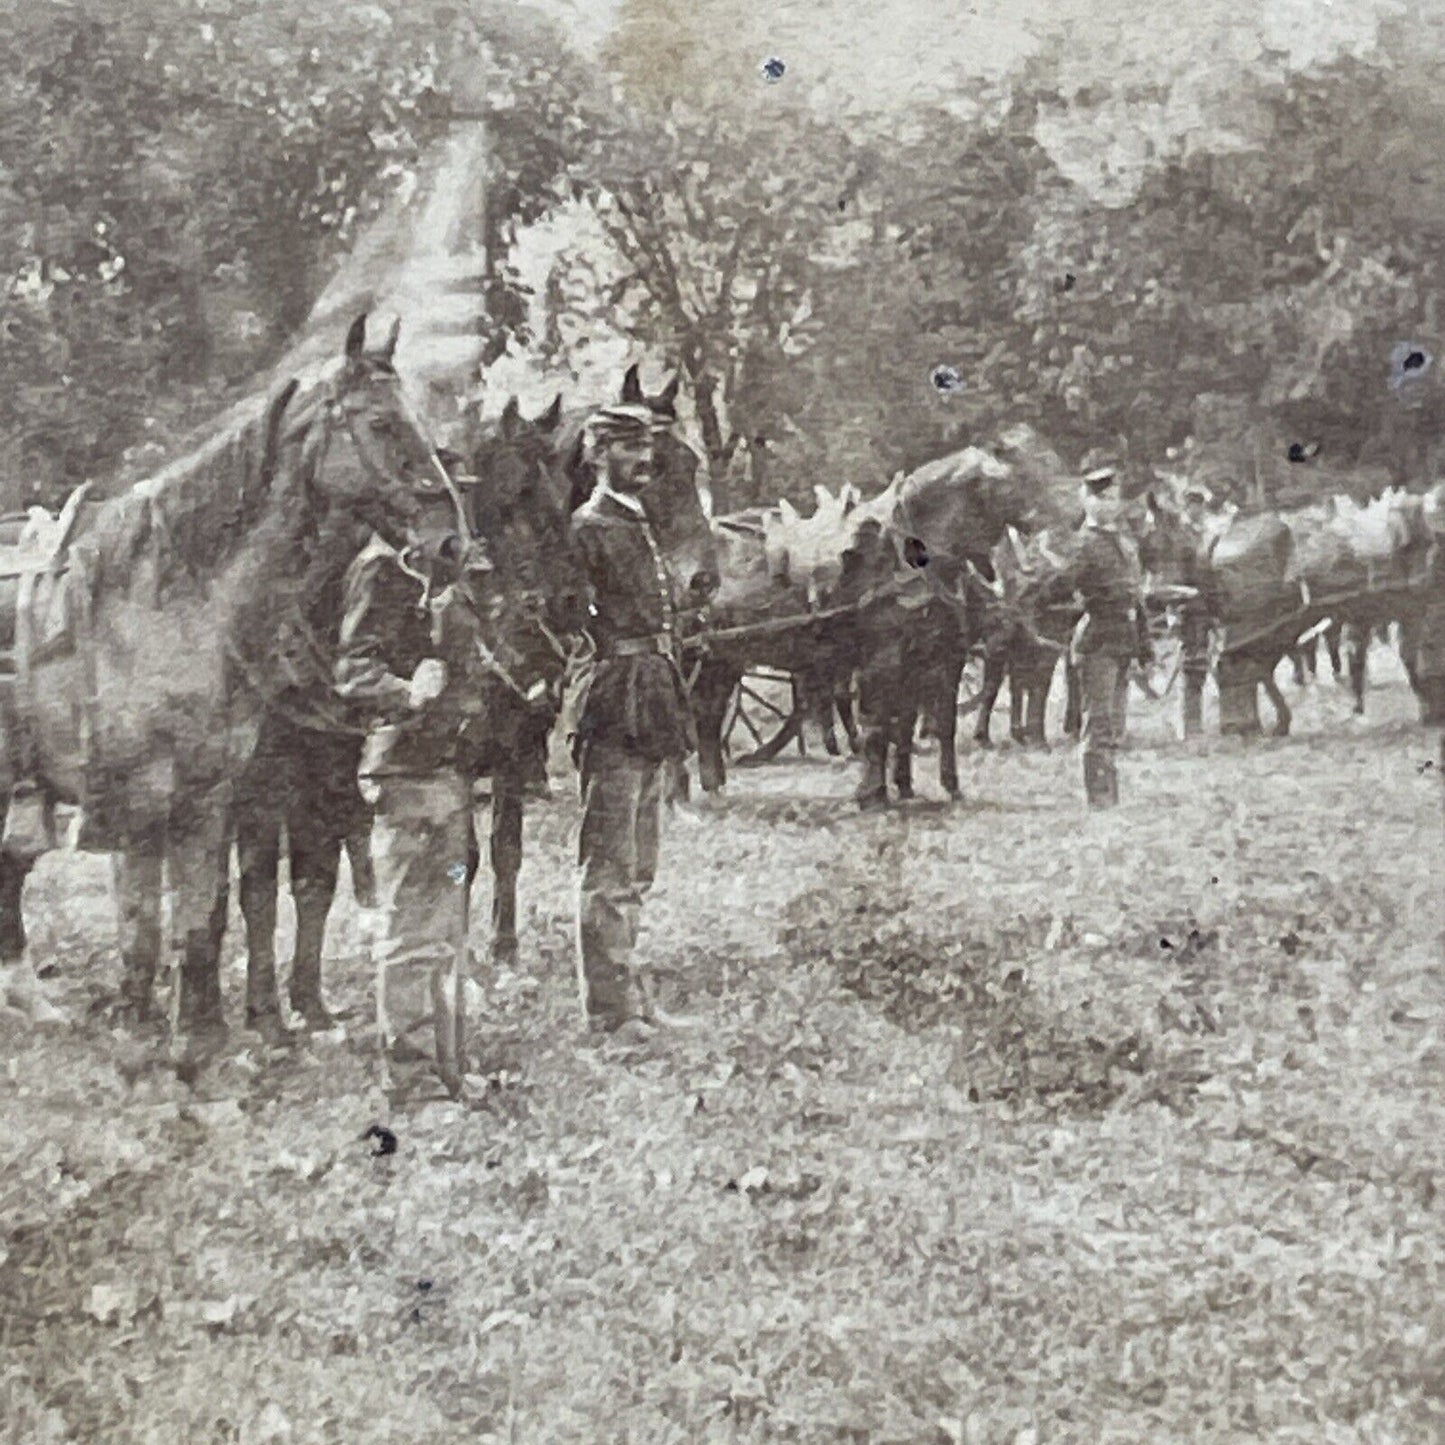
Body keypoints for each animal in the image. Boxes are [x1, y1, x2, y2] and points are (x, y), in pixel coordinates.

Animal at [0, 313, 465, 1051]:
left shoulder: (209, 797)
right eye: (382, 422)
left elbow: (200, 920)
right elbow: (145, 925)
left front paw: (205, 1039)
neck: (167, 605)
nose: (450, 542)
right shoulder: (141, 805)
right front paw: (145, 1028)